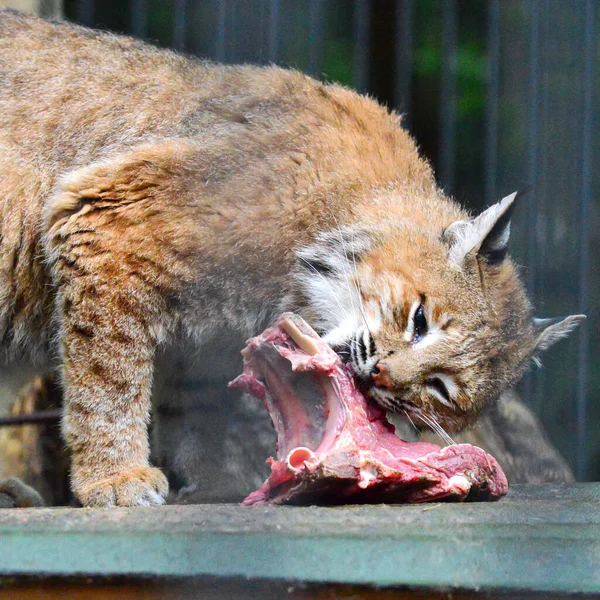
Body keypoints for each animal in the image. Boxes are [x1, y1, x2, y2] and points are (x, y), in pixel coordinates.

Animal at [0, 9, 584, 506]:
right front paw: (115, 477)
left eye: (441, 389)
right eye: (419, 320)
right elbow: (110, 376)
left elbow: (196, 406)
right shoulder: (107, 221)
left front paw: (212, 483)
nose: (381, 376)